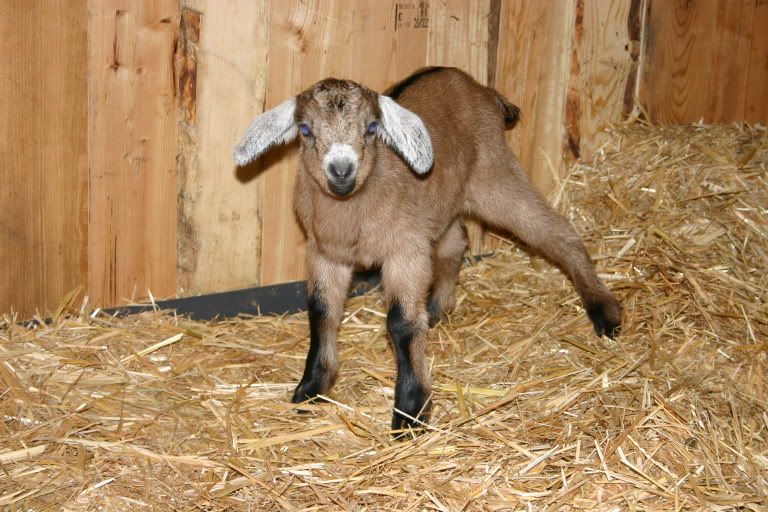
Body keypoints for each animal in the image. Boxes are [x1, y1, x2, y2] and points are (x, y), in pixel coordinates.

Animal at [234, 67, 622, 434]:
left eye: (372, 127)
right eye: (304, 129)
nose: (341, 172)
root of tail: (484, 90)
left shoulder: (405, 249)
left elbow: (401, 324)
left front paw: (411, 411)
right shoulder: (326, 253)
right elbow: (321, 312)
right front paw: (312, 388)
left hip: (494, 176)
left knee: (554, 229)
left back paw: (605, 311)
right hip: (445, 199)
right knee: (456, 241)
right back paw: (437, 308)